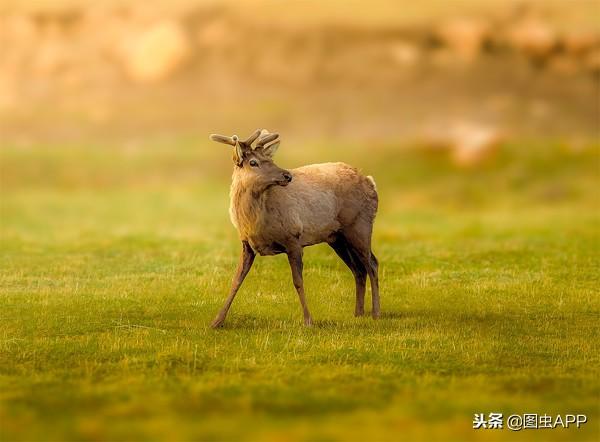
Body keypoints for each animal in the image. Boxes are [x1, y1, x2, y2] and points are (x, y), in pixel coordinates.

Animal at [210, 129, 380, 326]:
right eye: (253, 162)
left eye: (271, 159)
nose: (287, 175)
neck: (254, 222)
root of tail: (370, 182)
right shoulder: (247, 244)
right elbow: (236, 280)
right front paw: (217, 321)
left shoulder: (293, 237)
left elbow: (298, 281)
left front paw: (308, 320)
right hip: (337, 237)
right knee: (358, 269)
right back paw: (358, 313)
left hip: (360, 225)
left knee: (372, 264)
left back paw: (376, 312)